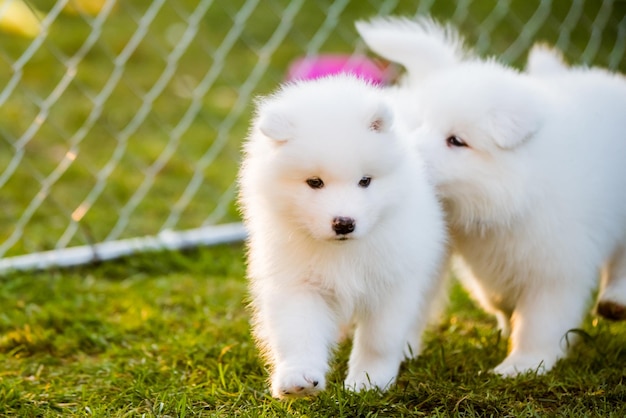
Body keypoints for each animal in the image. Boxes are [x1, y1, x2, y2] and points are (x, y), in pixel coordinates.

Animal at [236, 75, 446, 398]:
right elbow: (298, 330)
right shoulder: (296, 280)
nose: (344, 223)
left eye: (365, 181)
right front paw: (299, 377)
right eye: (314, 182)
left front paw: (369, 380)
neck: (344, 251)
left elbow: (379, 339)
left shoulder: (393, 281)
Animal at [356, 16, 624, 376]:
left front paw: (521, 366)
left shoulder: (556, 266)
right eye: (420, 125)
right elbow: (494, 295)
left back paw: (615, 301)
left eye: (456, 141)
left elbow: (541, 321)